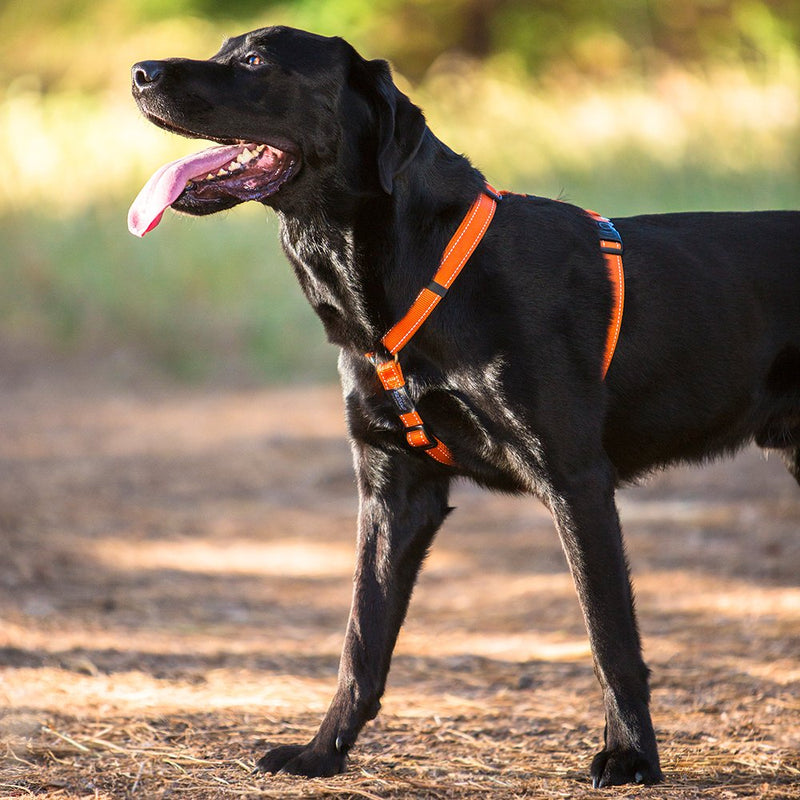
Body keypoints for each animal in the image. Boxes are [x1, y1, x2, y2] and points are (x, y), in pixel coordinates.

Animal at [128, 25, 796, 788]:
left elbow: (610, 637)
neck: (421, 268)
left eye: (256, 60)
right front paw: (323, 751)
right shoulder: (393, 490)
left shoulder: (577, 483)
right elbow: (361, 640)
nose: (139, 71)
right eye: (224, 49)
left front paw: (631, 755)